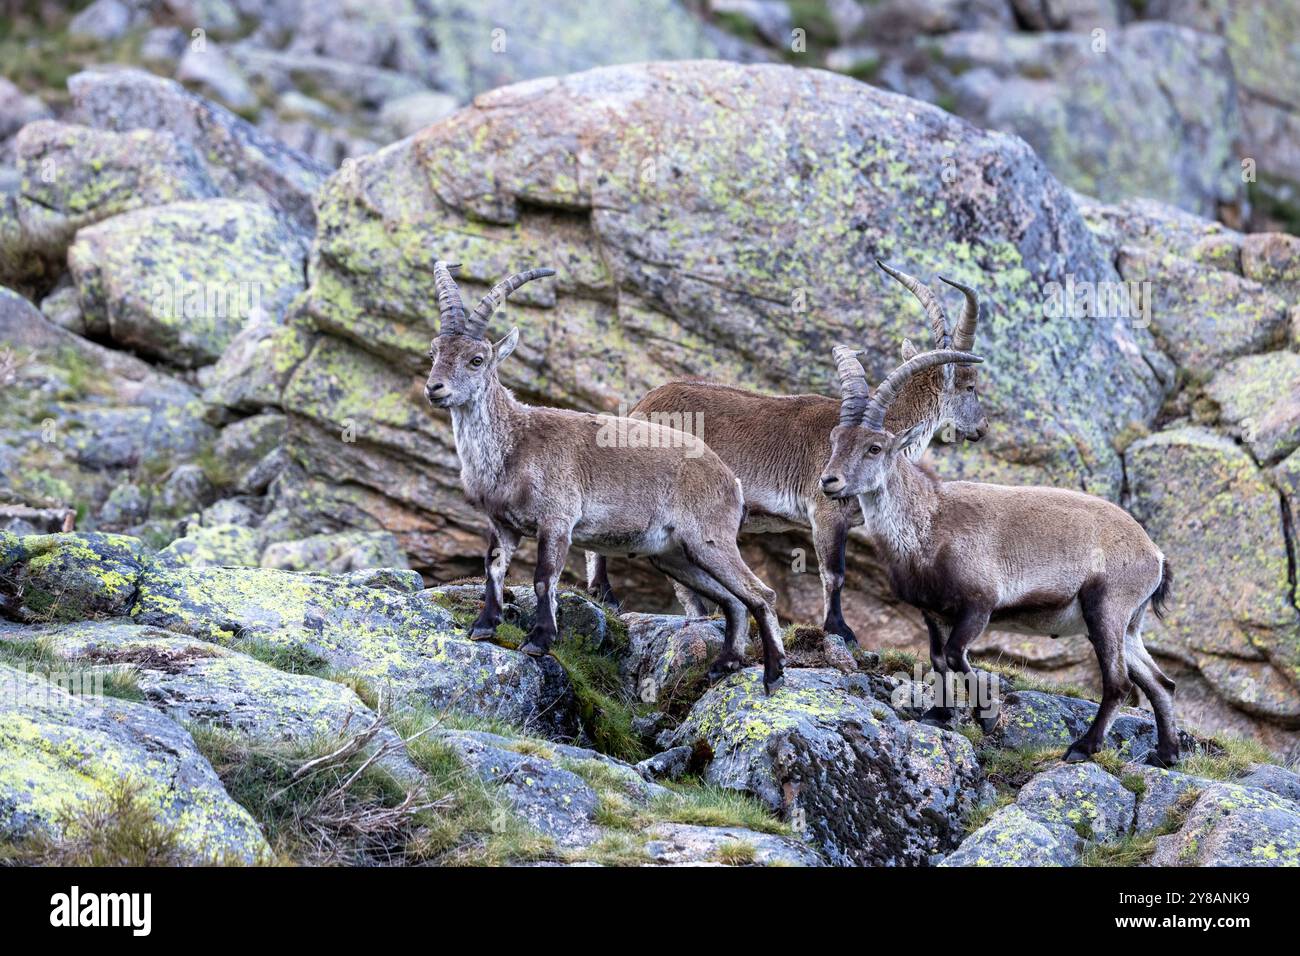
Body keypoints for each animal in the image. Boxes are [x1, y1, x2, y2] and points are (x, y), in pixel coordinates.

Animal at [424, 261, 787, 690]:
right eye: (434, 352)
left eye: (477, 359)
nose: (434, 388)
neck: (514, 443)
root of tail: (730, 480)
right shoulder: (503, 524)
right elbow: (494, 568)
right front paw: (484, 626)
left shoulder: (557, 519)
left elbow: (544, 577)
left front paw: (539, 640)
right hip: (674, 555)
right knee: (733, 599)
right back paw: (725, 663)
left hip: (710, 538)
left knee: (761, 593)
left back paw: (773, 673)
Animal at [587, 261, 989, 645]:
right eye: (970, 385)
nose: (982, 428)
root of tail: (638, 408)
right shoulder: (825, 511)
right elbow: (833, 574)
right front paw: (840, 630)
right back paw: (609, 596)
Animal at [819, 347, 1179, 767]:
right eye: (835, 439)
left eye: (874, 448)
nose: (829, 481)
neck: (929, 521)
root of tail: (1154, 553)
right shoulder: (934, 612)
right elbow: (938, 659)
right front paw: (939, 715)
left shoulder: (979, 605)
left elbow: (956, 655)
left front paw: (986, 715)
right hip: (1129, 625)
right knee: (1161, 682)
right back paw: (1167, 753)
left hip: (1106, 608)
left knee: (1119, 682)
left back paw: (1083, 747)